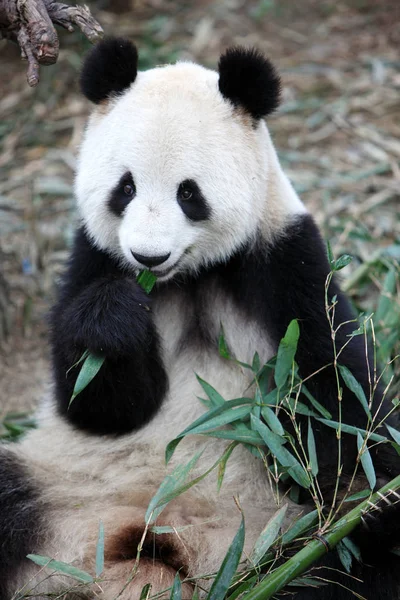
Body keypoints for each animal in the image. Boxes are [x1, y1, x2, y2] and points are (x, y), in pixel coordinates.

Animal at [0, 38, 400, 600]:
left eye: (188, 193)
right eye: (125, 188)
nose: (147, 256)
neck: (187, 278)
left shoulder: (286, 263)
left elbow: (336, 404)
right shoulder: (93, 258)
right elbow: (93, 403)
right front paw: (113, 319)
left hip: (285, 526)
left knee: (356, 545)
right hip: (61, 483)